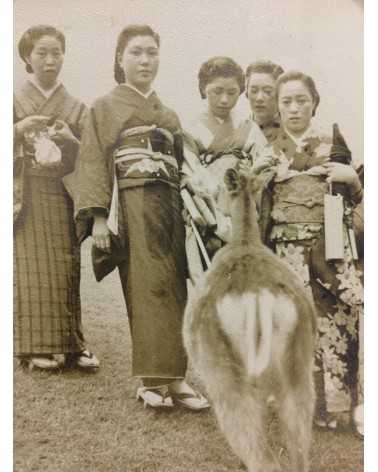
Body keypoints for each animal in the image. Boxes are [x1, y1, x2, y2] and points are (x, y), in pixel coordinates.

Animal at [183, 163, 316, 472]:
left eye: (215, 189)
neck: (244, 241)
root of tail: (258, 296)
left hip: (223, 372)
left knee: (259, 453)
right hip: (299, 364)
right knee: (299, 445)